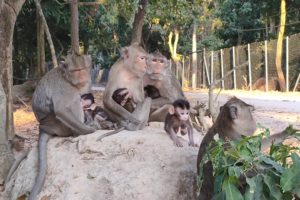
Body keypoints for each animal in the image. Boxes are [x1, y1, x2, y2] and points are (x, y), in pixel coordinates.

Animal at [27, 53, 96, 200]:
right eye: (76, 71)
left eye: (83, 69)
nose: (82, 76)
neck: (68, 78)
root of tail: (43, 127)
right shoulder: (66, 88)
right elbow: (61, 109)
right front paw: (89, 130)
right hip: (59, 126)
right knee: (74, 100)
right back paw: (77, 132)